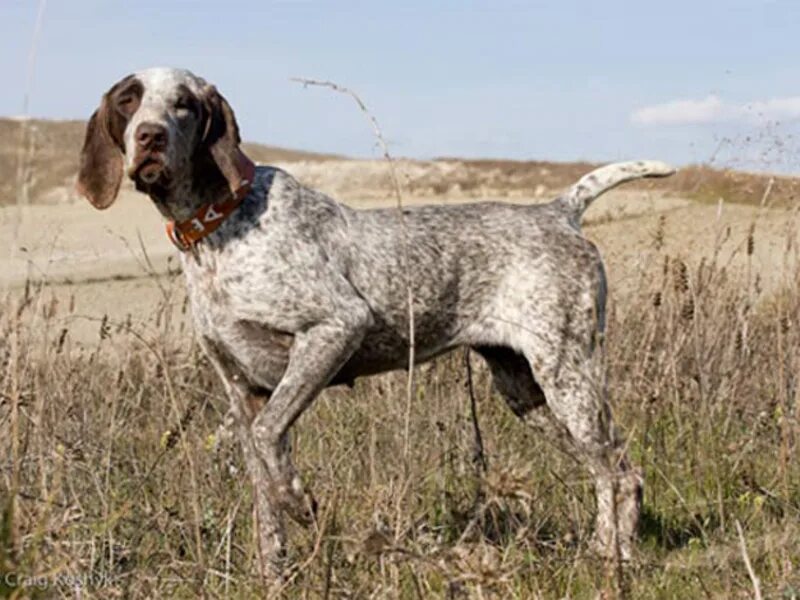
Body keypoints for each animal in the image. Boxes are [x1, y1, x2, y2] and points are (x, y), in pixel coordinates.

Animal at [75, 68, 676, 580]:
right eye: (129, 100)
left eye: (184, 103)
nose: (150, 137)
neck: (219, 226)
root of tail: (559, 211)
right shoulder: (242, 390)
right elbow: (263, 490)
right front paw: (275, 574)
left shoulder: (335, 329)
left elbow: (273, 446)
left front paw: (303, 504)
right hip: (524, 389)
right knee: (604, 469)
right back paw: (601, 551)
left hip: (567, 374)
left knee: (622, 470)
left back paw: (617, 562)